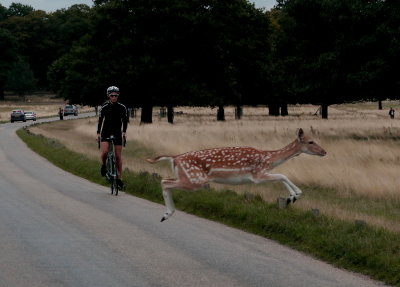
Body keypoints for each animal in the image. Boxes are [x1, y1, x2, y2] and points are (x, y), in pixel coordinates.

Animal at [145, 128, 326, 223]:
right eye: (310, 142)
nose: (324, 151)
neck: (269, 159)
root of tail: (174, 158)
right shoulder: (257, 175)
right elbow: (282, 175)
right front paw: (292, 197)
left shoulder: (261, 173)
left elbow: (282, 175)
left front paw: (293, 197)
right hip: (195, 180)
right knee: (165, 181)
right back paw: (167, 214)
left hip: (189, 178)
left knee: (165, 180)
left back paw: (166, 215)